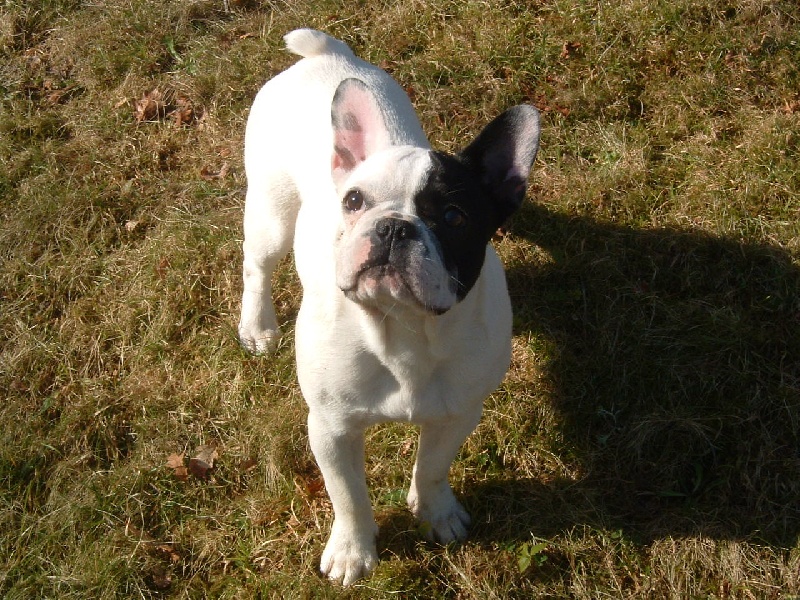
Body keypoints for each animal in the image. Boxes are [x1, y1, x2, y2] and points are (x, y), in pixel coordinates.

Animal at [238, 29, 536, 584]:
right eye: (354, 202)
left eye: (453, 216)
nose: (394, 227)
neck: (405, 332)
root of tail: (325, 55)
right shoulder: (331, 428)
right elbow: (348, 495)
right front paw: (353, 552)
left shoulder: (458, 412)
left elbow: (433, 466)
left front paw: (435, 513)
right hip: (270, 211)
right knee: (257, 266)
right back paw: (258, 326)